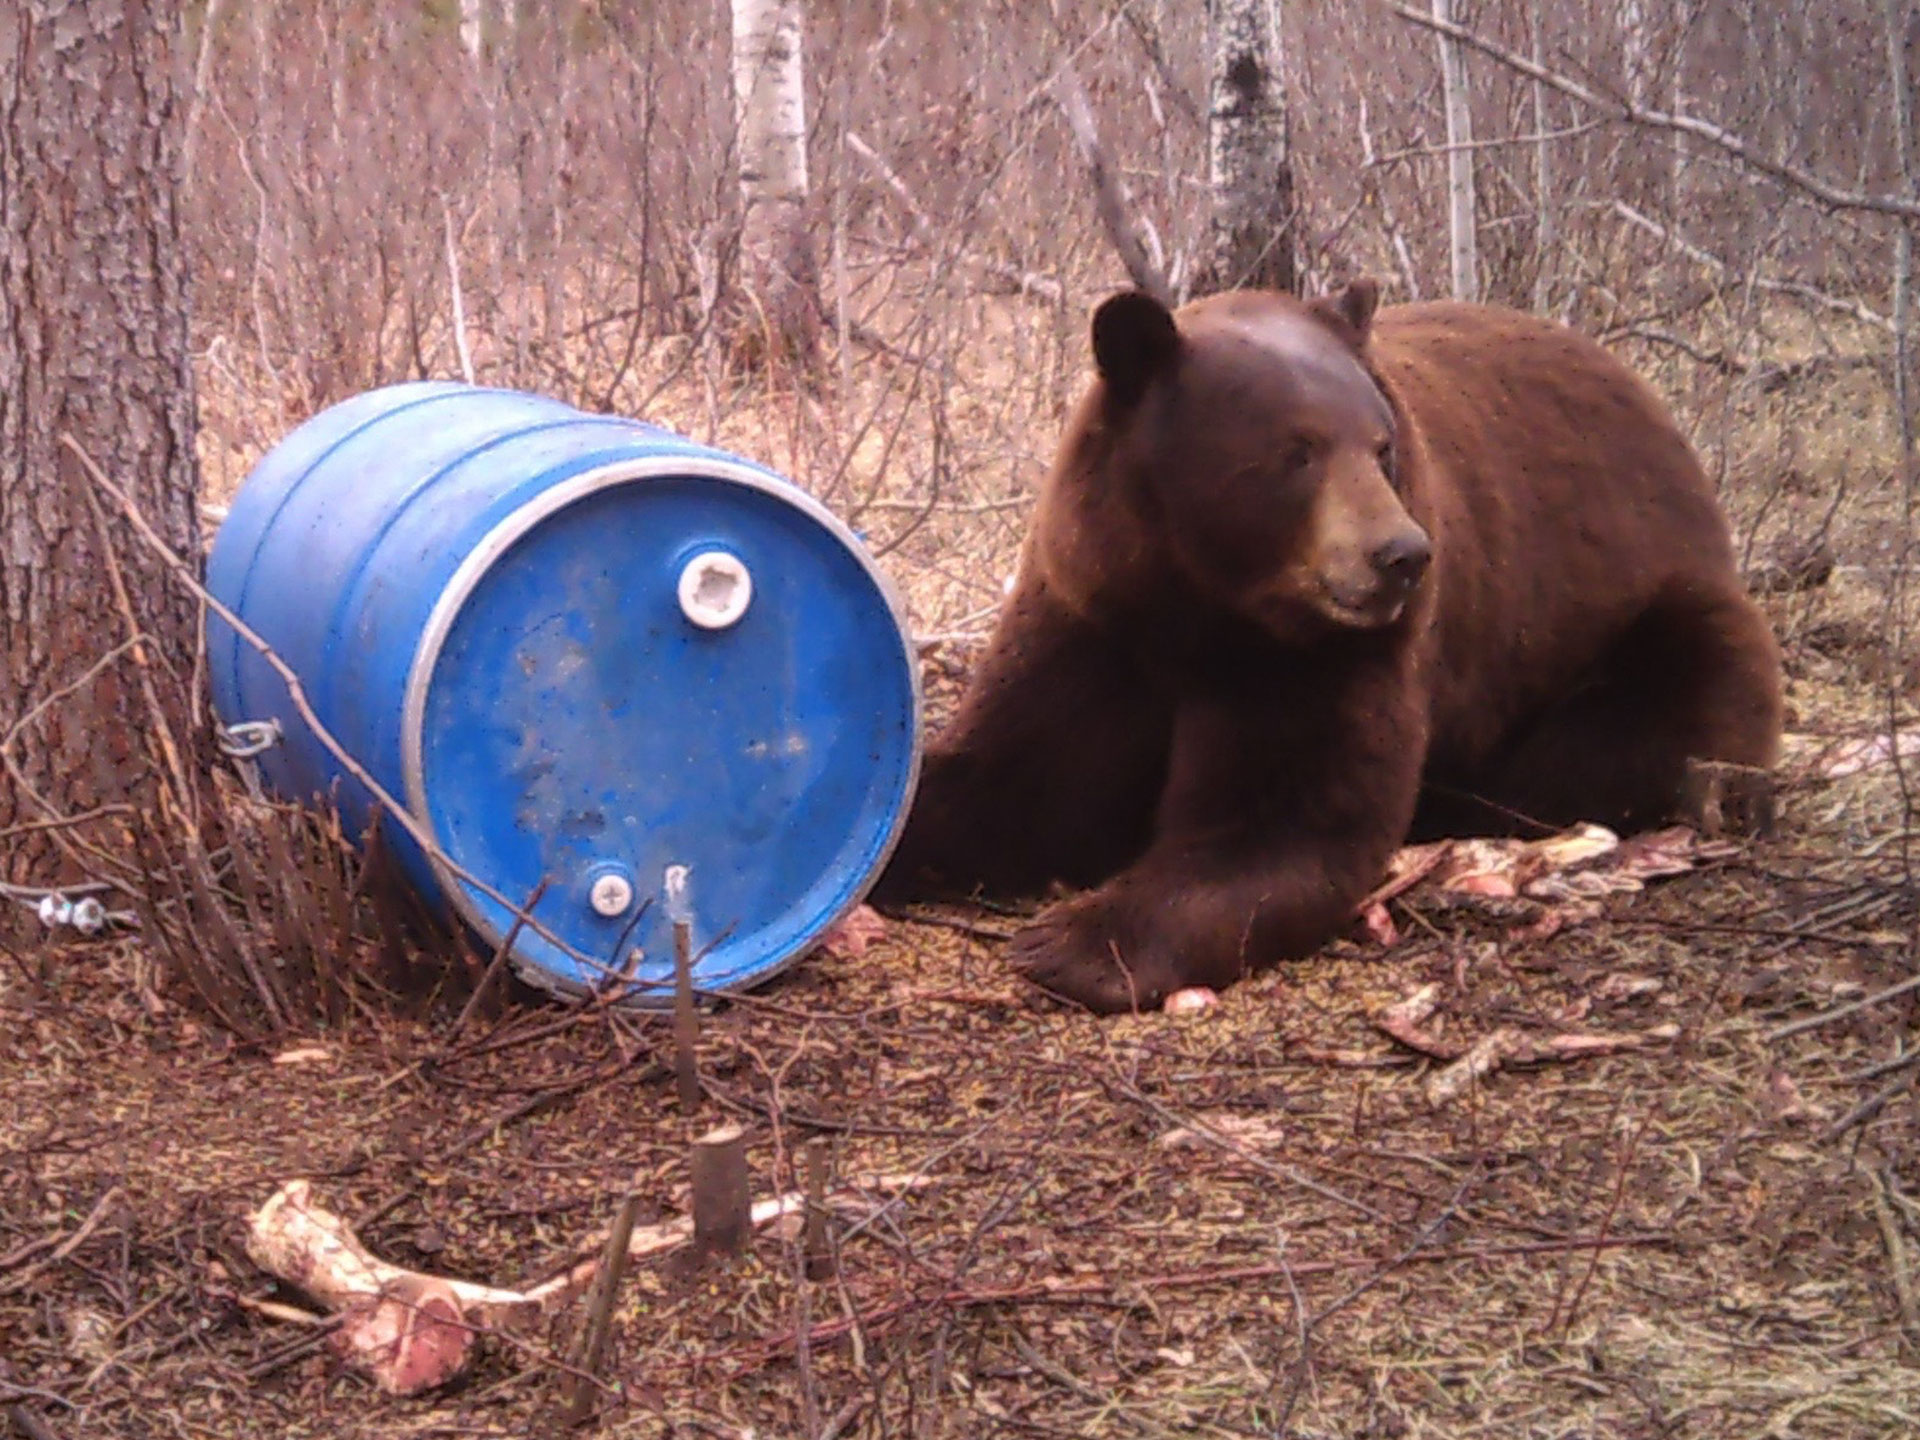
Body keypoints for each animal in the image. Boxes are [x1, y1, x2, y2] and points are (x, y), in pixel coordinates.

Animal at [870, 278, 1785, 1015]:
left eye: (1380, 445)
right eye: (1295, 451)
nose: (1402, 555)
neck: (1201, 604)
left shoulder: (1323, 656)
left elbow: (1287, 821)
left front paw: (1074, 940)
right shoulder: (1093, 614)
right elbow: (1017, 775)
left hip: (1644, 606)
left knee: (1666, 706)